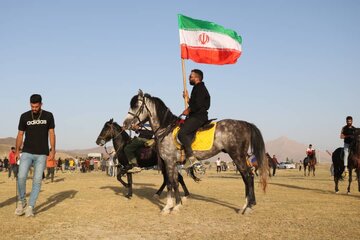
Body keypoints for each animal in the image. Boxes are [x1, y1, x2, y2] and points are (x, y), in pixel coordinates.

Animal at [122, 90, 268, 214]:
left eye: (136, 106)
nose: (125, 124)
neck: (165, 129)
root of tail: (245, 123)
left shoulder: (169, 162)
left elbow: (172, 182)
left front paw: (172, 206)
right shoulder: (171, 163)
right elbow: (173, 182)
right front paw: (173, 205)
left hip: (237, 155)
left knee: (247, 176)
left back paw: (248, 207)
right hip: (239, 157)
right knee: (248, 176)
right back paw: (247, 205)